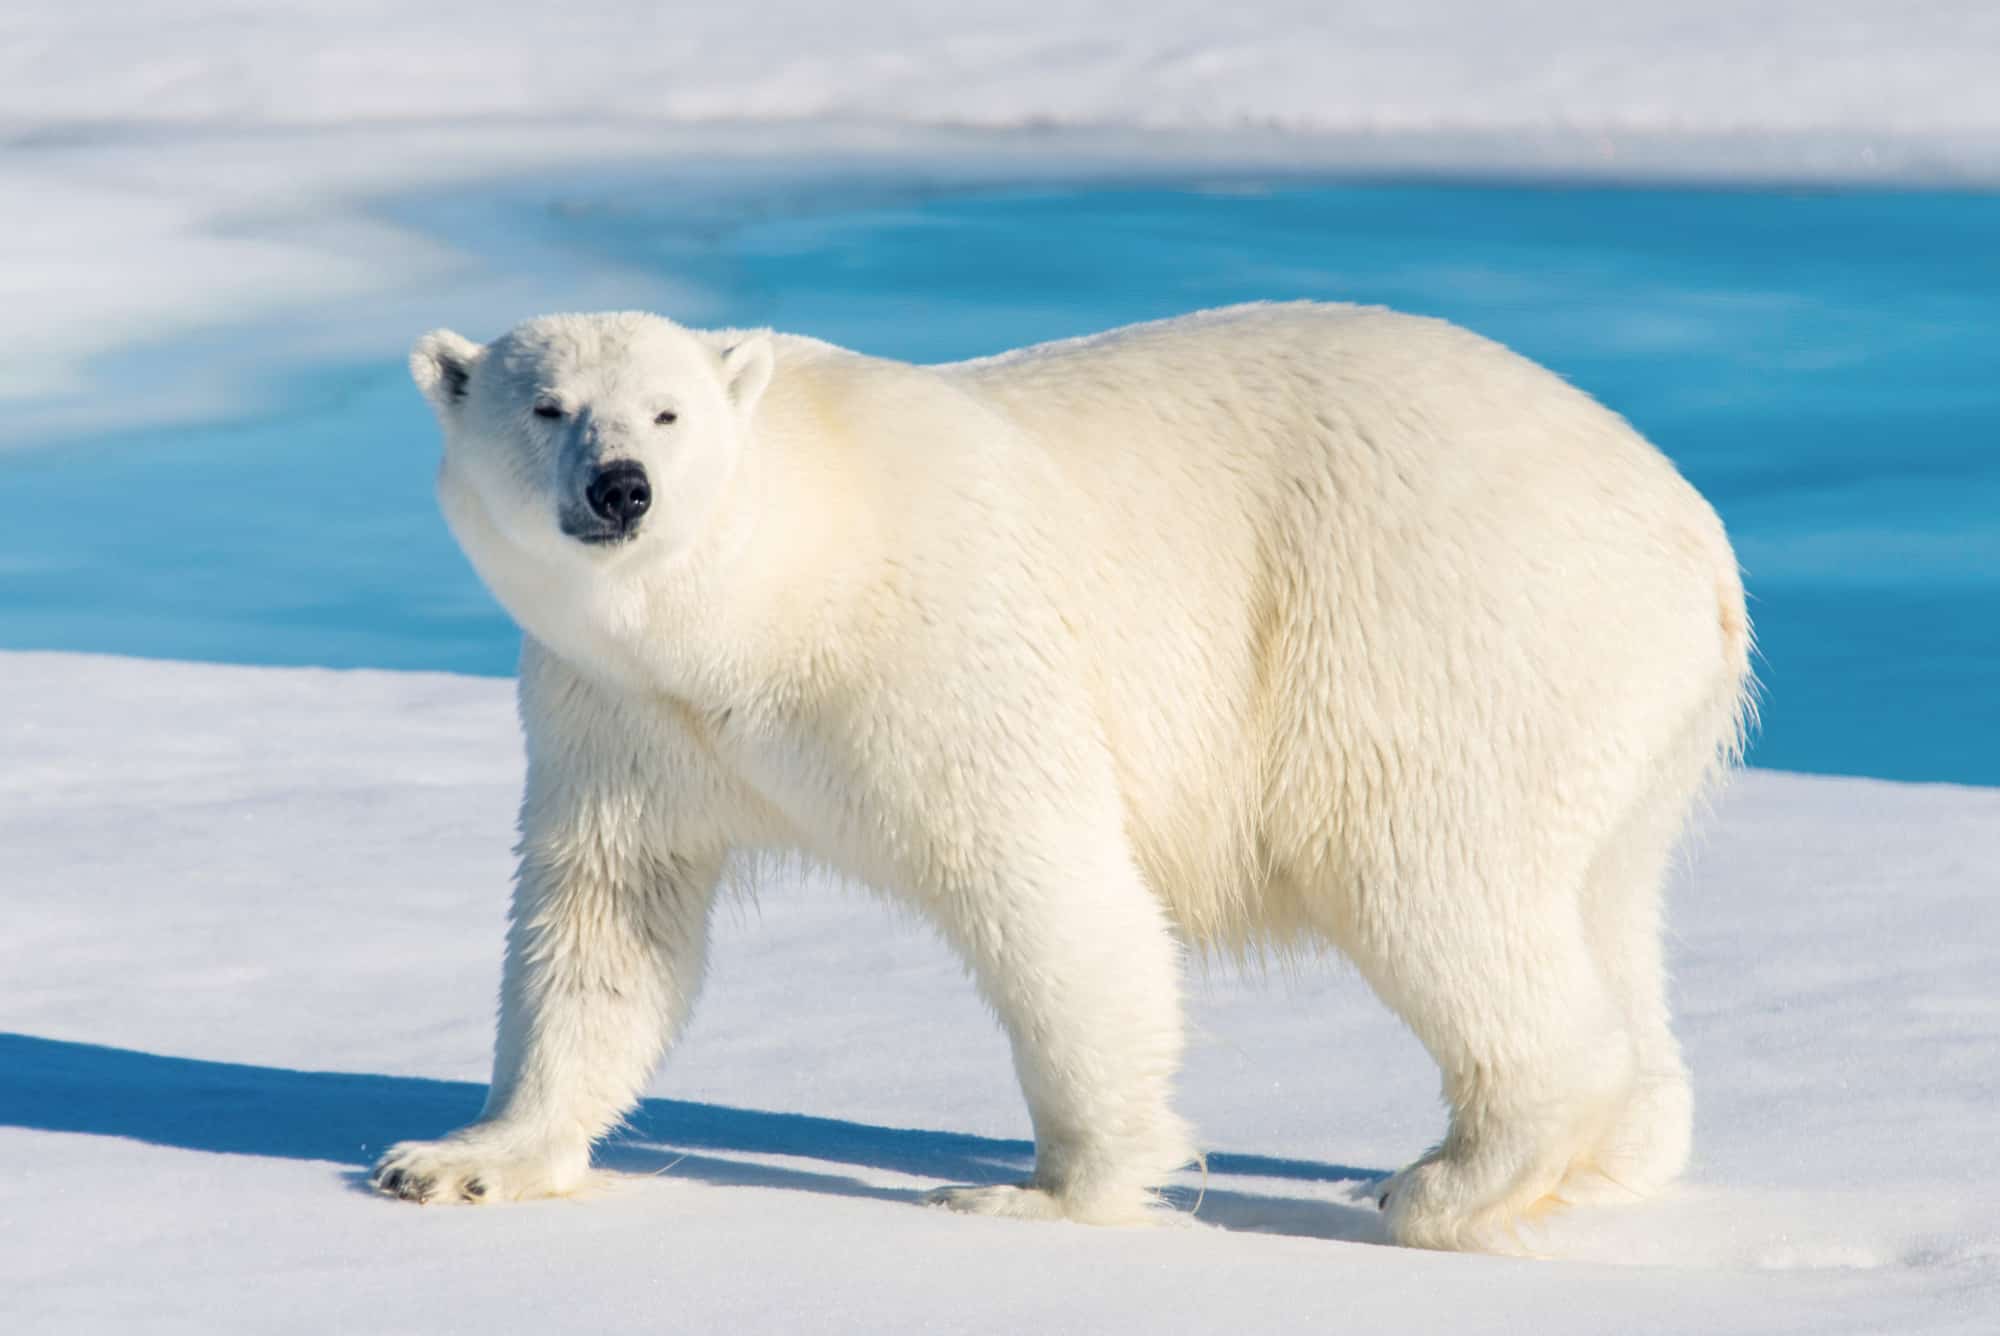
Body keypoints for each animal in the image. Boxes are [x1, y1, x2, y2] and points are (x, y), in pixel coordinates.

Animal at [374, 302, 1752, 1251]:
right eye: (546, 406)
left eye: (667, 412)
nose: (622, 489)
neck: (763, 597)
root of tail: (1694, 532)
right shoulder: (620, 714)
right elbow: (605, 918)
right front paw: (458, 1158)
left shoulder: (936, 647)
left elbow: (1047, 887)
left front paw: (1040, 1192)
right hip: (1621, 712)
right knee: (1600, 899)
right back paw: (1612, 1158)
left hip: (1439, 630)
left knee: (1429, 879)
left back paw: (1445, 1179)